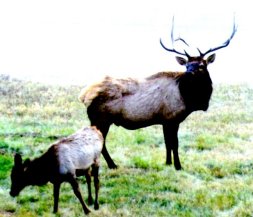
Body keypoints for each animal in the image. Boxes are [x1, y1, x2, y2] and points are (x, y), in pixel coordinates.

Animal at [79, 19, 237, 171]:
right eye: (187, 65)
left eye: (201, 66)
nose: (188, 73)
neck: (188, 99)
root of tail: (84, 95)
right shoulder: (172, 118)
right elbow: (174, 144)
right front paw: (178, 166)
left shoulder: (165, 121)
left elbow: (167, 143)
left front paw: (167, 163)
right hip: (102, 119)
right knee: (101, 143)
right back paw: (112, 165)